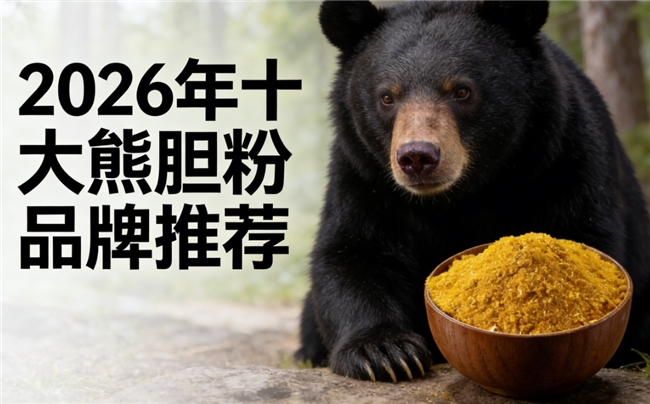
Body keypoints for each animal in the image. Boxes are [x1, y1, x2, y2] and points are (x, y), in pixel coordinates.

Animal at [295, 0, 650, 383]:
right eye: (387, 96)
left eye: (461, 90)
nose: (417, 157)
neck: (460, 196)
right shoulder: (364, 175)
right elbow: (353, 253)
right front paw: (385, 353)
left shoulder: (561, 159)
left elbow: (579, 234)